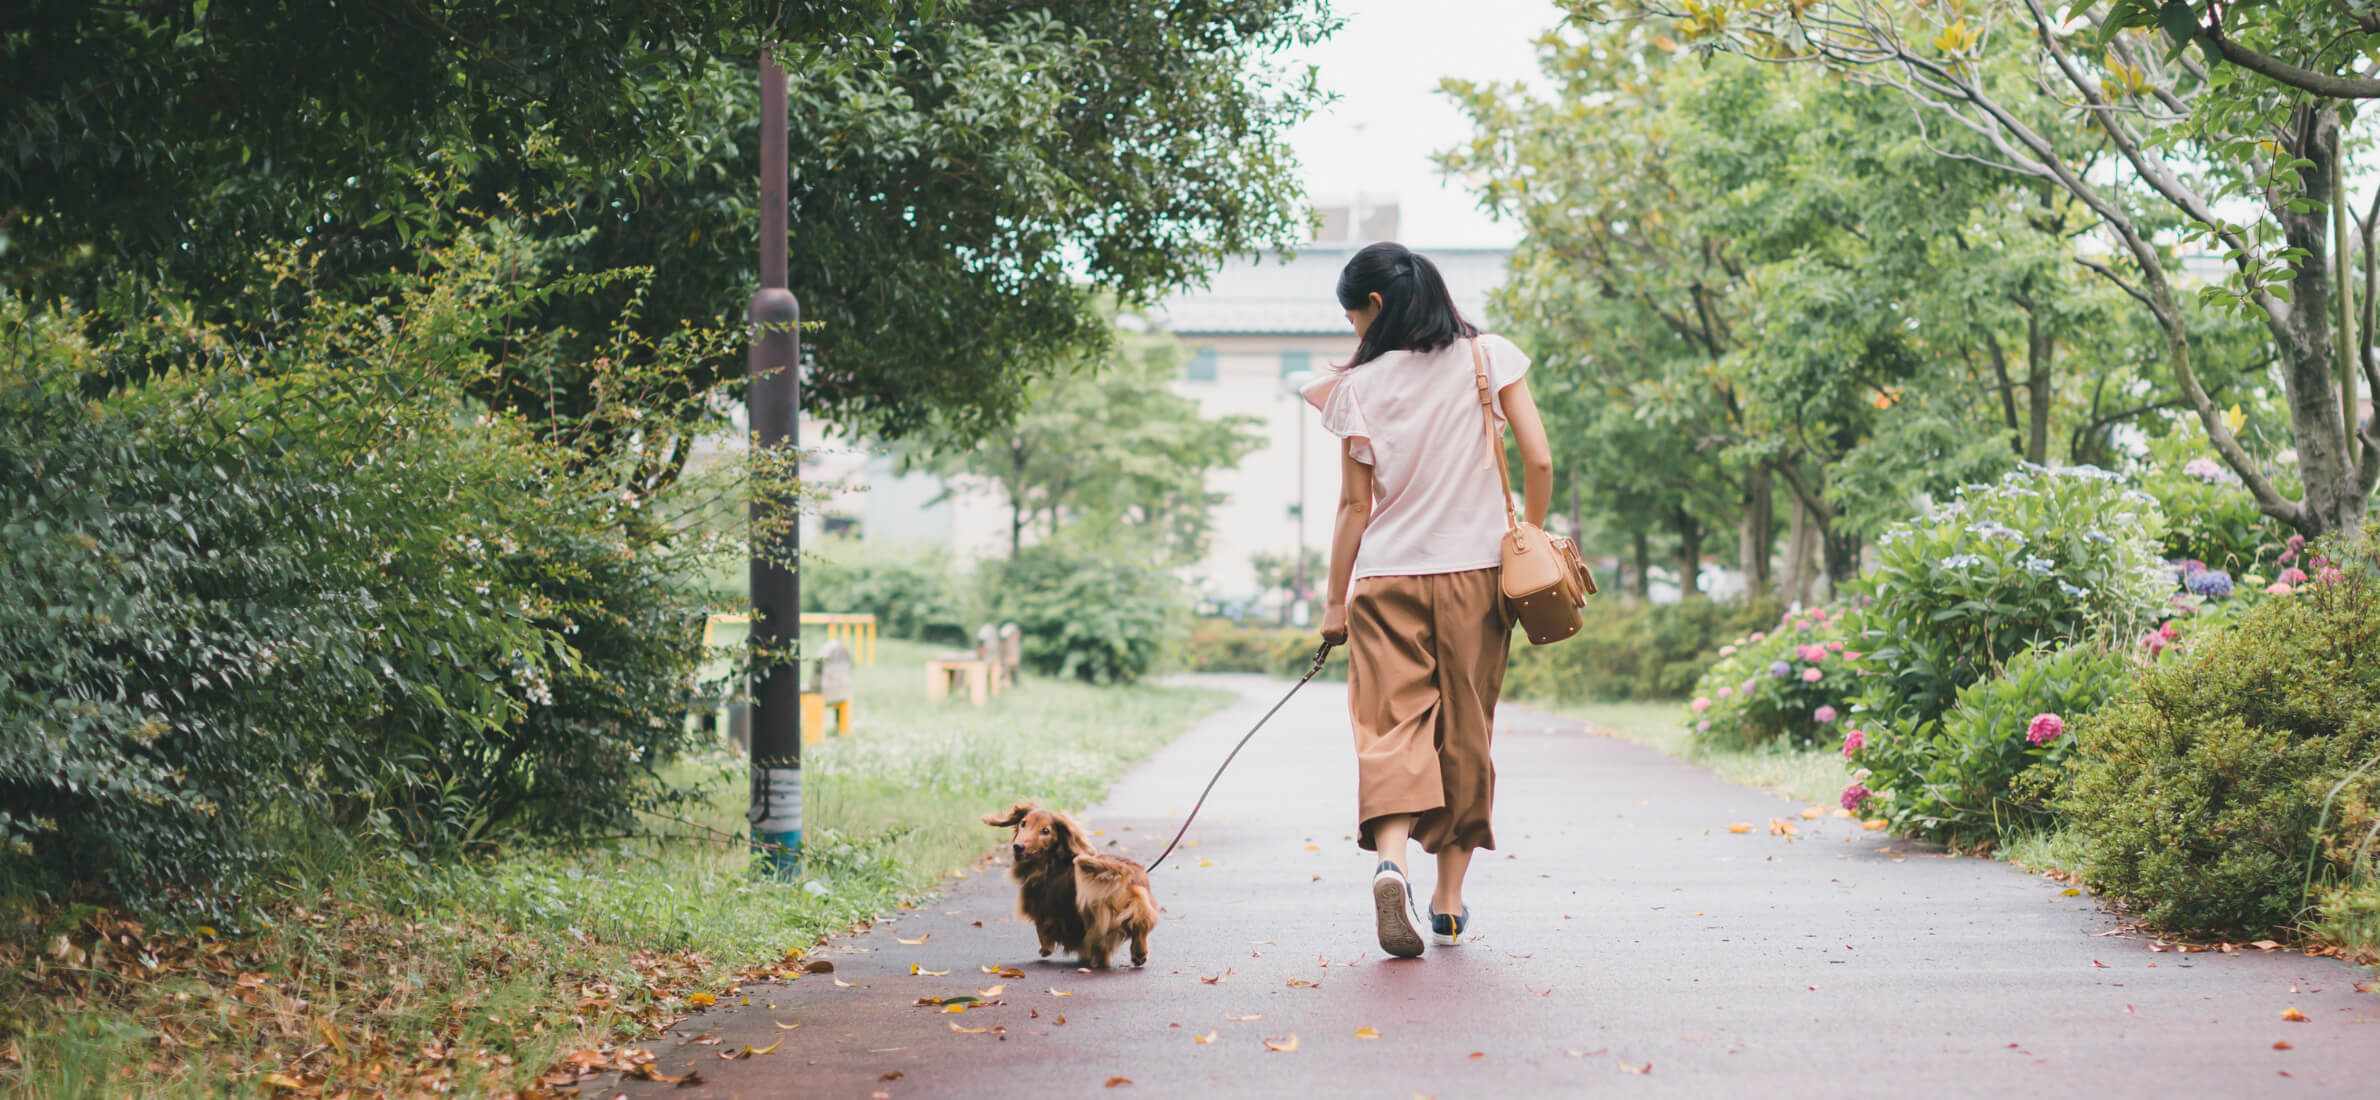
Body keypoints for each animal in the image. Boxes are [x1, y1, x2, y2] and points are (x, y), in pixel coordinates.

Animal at [980, 804, 1156, 966]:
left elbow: (1042, 929)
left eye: (1045, 831)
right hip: (1140, 906)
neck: (1052, 862)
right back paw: (1139, 954)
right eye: (1023, 823)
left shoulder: (1044, 909)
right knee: (1141, 927)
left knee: (1101, 944)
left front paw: (1045, 949)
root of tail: (1123, 871)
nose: (1018, 847)